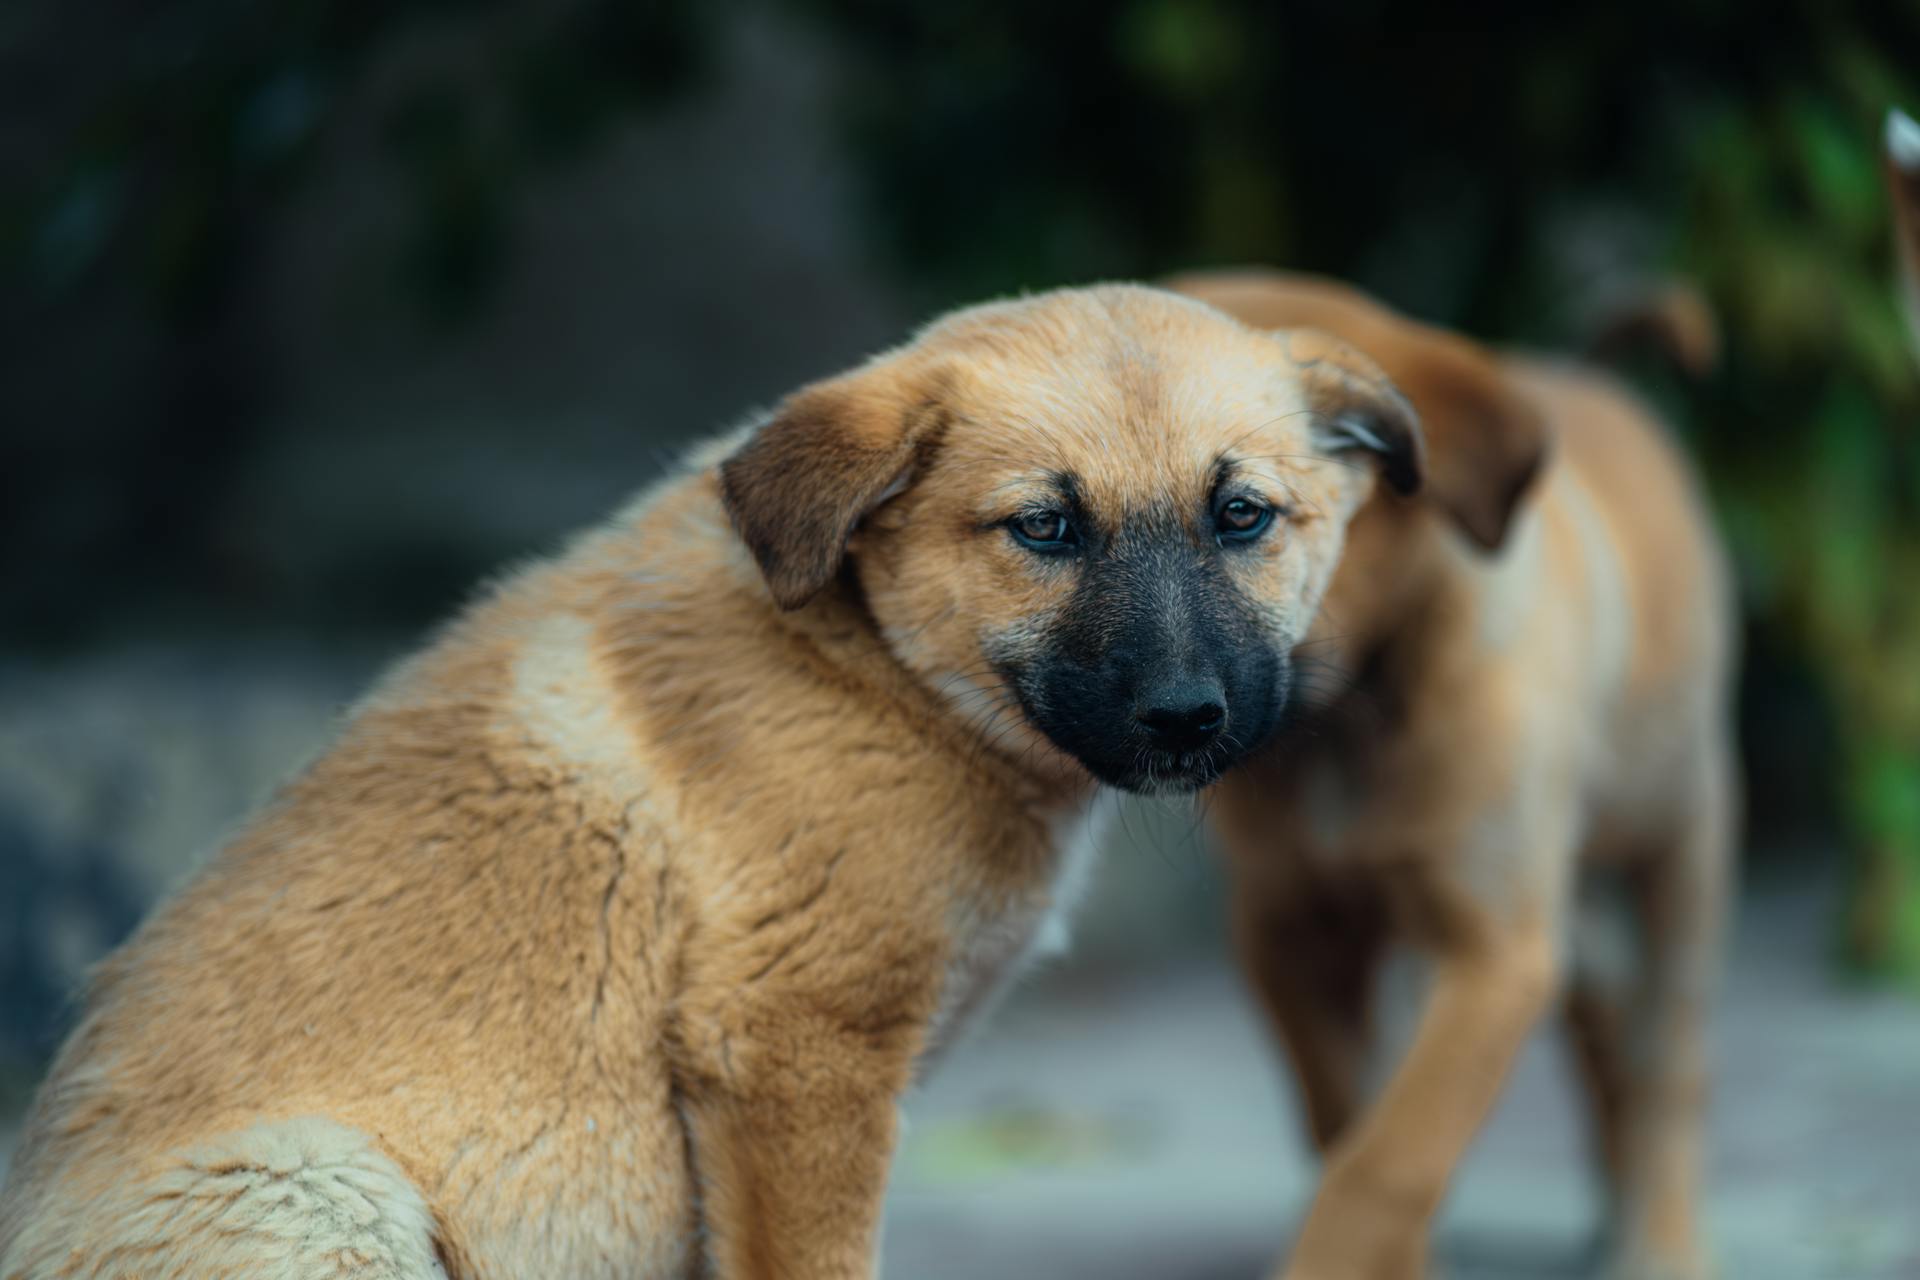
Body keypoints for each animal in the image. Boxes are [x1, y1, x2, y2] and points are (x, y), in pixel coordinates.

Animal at [0, 285, 1420, 1280]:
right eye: (1045, 528)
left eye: (1242, 515)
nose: (1187, 717)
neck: (879, 664)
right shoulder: (793, 1050)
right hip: (319, 1187)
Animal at [1167, 264, 1743, 1274]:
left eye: (1241, 514)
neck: (1341, 725)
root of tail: (1586, 376)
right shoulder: (1288, 932)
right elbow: (1347, 1120)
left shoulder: (1492, 949)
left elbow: (1393, 1156)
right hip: (1565, 900)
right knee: (1607, 1027)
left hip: (1679, 837)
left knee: (1671, 1054)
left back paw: (1661, 1239)